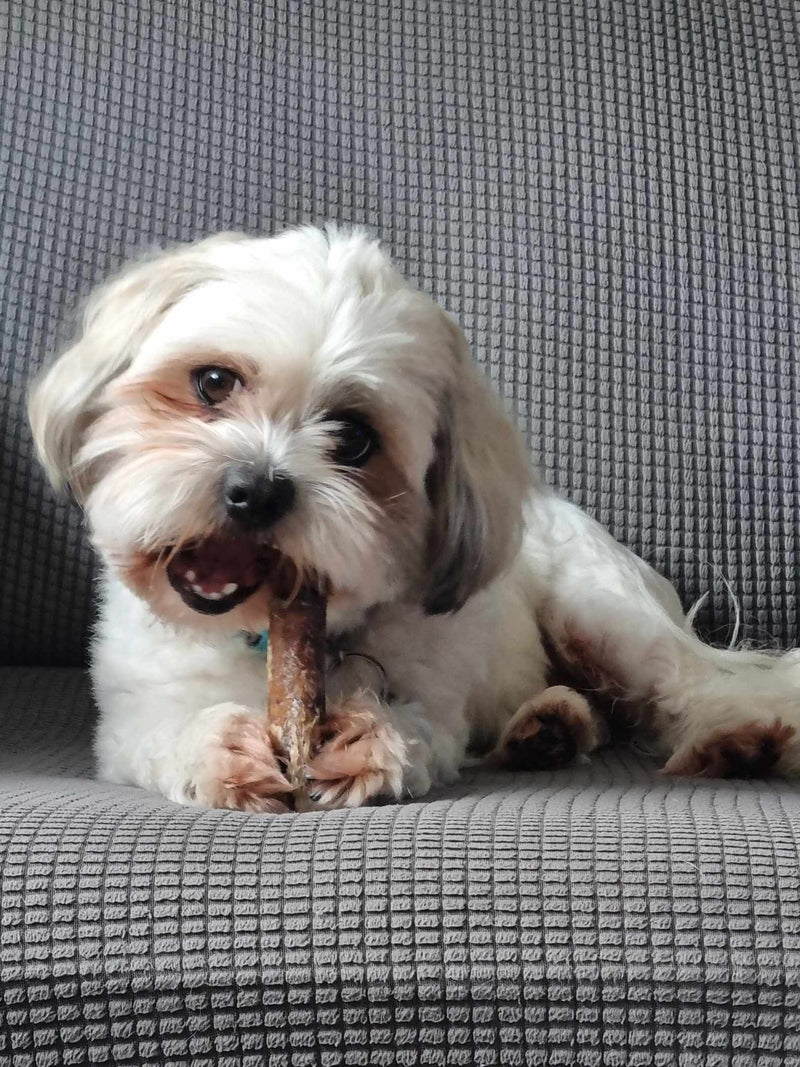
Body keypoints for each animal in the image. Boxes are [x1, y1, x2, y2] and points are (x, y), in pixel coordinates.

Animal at [26, 225, 800, 806]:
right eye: (213, 381)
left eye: (354, 438)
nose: (257, 488)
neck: (261, 641)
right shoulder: (125, 719)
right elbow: (157, 733)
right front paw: (214, 746)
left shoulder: (437, 697)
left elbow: (423, 726)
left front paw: (373, 735)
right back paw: (548, 726)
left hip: (599, 611)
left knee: (679, 686)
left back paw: (733, 741)